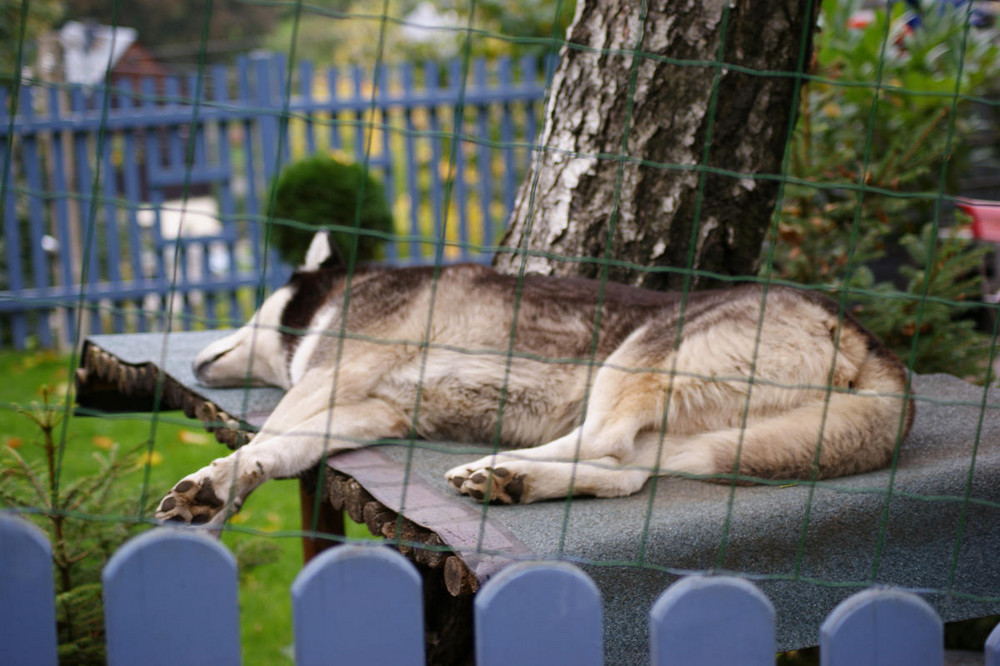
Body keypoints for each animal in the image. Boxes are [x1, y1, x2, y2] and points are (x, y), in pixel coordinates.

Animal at [156, 233, 916, 524]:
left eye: (253, 303)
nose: (193, 362)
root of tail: (868, 340)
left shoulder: (328, 381)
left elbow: (270, 431)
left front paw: (219, 479)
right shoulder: (364, 412)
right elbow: (287, 447)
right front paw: (235, 482)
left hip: (638, 357)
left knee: (606, 445)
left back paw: (498, 467)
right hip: (696, 429)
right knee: (625, 473)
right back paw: (516, 480)